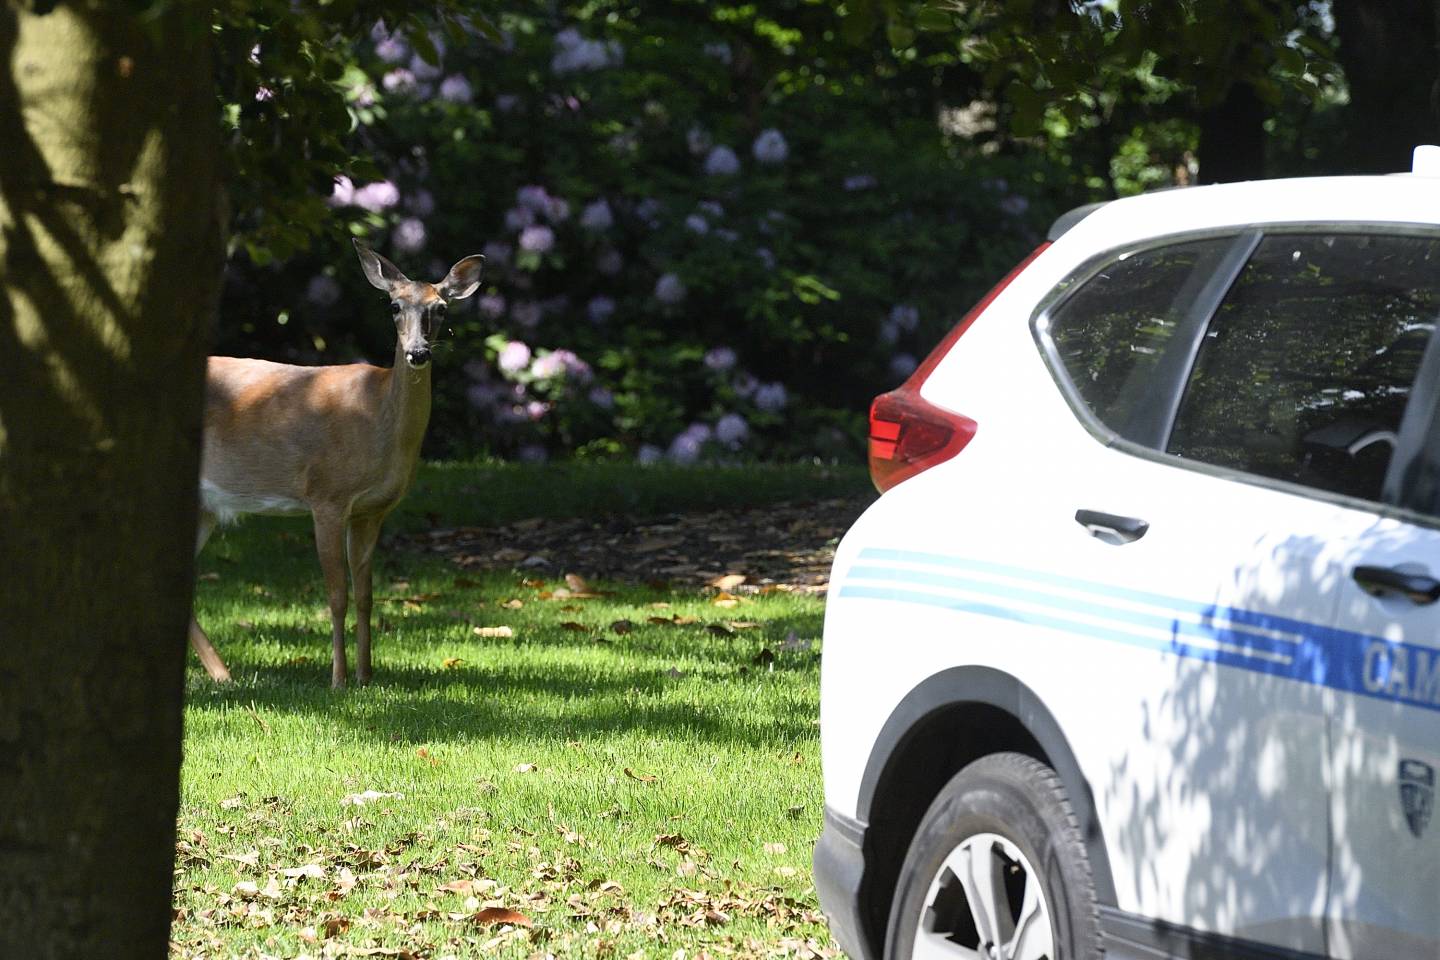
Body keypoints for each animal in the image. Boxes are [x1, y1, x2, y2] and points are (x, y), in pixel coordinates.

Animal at [188, 244, 483, 687]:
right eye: (394, 305)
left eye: (441, 308)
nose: (418, 353)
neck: (378, 417)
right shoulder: (327, 495)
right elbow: (337, 595)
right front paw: (339, 679)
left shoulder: (372, 511)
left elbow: (366, 596)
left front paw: (366, 675)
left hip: (206, 507)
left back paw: (223, 674)